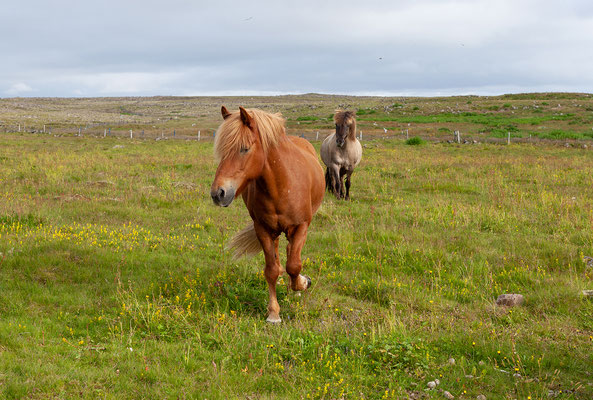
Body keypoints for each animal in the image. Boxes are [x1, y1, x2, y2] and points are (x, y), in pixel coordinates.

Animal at [210, 105, 324, 322]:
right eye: (221, 150)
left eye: (244, 148)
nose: (218, 193)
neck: (282, 184)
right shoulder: (262, 229)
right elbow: (271, 270)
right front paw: (273, 313)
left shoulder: (301, 226)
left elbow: (294, 265)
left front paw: (303, 283)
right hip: (274, 231)